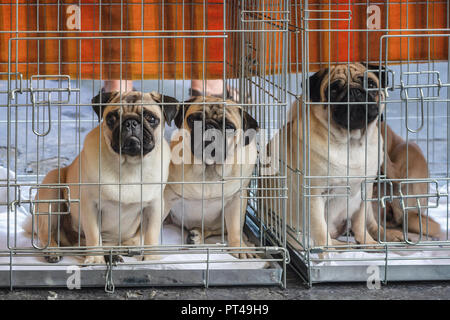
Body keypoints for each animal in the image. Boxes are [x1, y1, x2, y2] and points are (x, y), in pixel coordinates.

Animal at [28, 91, 178, 264]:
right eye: (111, 118)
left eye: (150, 118)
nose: (131, 122)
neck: (129, 165)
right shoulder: (90, 205)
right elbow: (94, 235)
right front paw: (95, 259)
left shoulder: (154, 206)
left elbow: (151, 234)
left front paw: (151, 258)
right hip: (52, 188)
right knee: (47, 234)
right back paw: (54, 251)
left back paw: (121, 251)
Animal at [163, 95, 258, 258]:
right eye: (193, 120)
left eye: (229, 127)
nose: (209, 127)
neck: (208, 169)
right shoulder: (166, 195)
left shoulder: (236, 200)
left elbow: (235, 228)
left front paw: (239, 247)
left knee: (217, 230)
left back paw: (197, 235)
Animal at [262, 63, 400, 252]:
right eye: (333, 90)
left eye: (370, 84)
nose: (354, 92)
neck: (351, 142)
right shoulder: (315, 195)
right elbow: (321, 231)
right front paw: (331, 252)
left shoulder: (365, 190)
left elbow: (360, 222)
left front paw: (367, 242)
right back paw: (343, 246)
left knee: (370, 222)